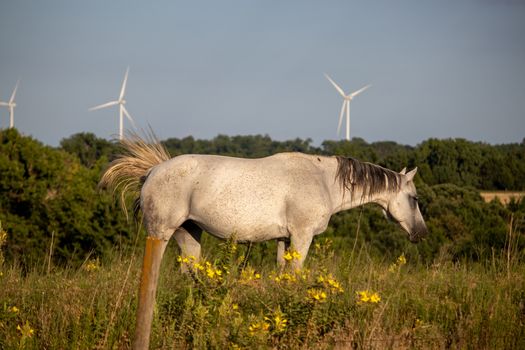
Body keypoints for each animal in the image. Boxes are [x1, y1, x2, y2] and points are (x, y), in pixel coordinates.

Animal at [100, 133, 428, 348]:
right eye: (414, 198)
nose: (421, 234)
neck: (323, 180)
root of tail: (152, 171)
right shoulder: (301, 237)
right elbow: (295, 277)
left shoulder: (284, 240)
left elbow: (283, 276)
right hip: (161, 233)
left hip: (189, 234)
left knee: (189, 275)